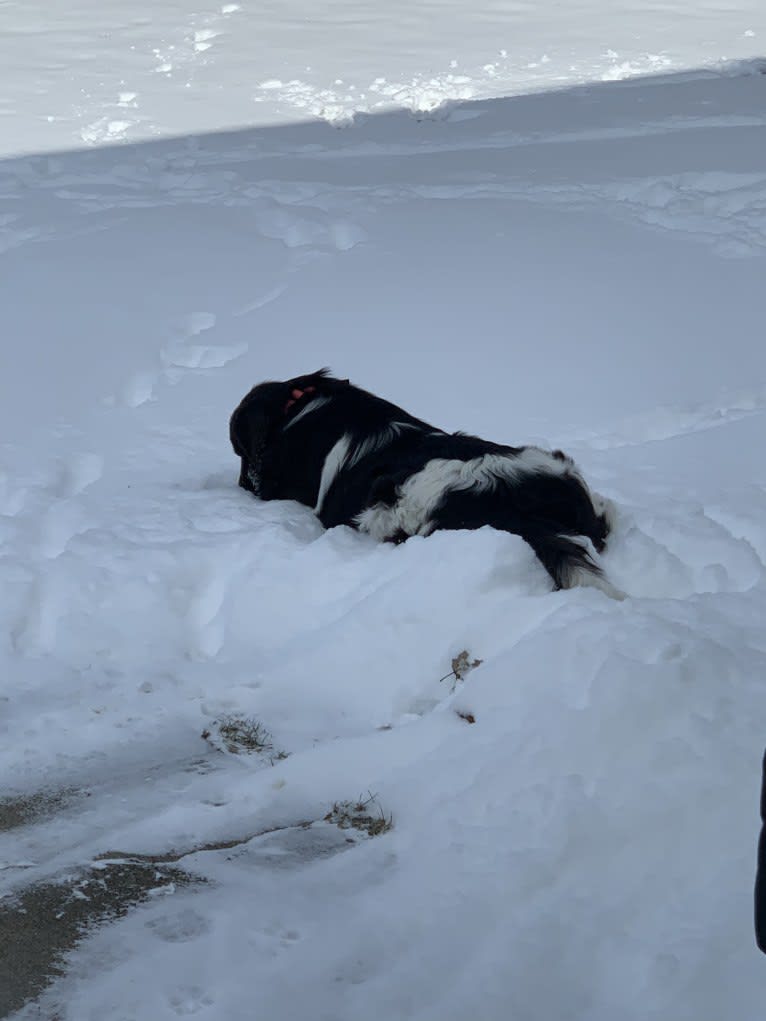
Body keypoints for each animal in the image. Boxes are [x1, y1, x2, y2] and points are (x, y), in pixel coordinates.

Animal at [229, 369, 625, 596]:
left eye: (239, 450)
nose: (243, 485)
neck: (298, 406)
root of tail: (505, 499)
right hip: (555, 469)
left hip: (393, 509)